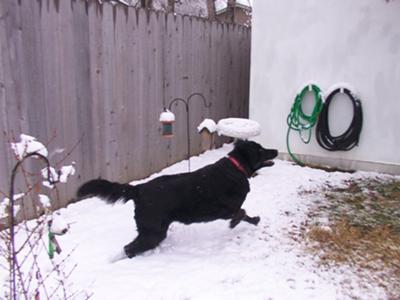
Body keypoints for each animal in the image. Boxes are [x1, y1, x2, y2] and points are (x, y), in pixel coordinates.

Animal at [77, 141, 278, 258]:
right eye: (261, 149)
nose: (275, 150)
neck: (236, 168)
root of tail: (138, 189)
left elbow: (245, 214)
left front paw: (254, 220)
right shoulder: (222, 209)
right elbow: (240, 212)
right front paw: (235, 224)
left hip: (154, 230)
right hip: (153, 232)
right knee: (129, 248)